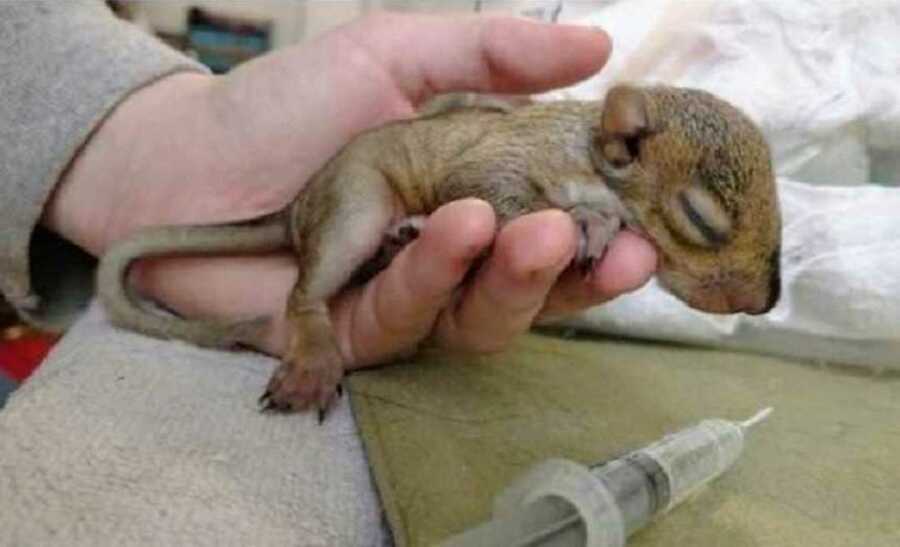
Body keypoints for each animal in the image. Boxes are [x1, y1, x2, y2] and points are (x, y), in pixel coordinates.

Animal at [98, 84, 780, 420]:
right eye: (700, 219)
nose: (767, 301)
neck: (586, 152)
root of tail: (297, 207)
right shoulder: (504, 160)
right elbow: (489, 188)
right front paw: (589, 221)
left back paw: (403, 241)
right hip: (354, 202)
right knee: (304, 296)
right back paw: (315, 356)